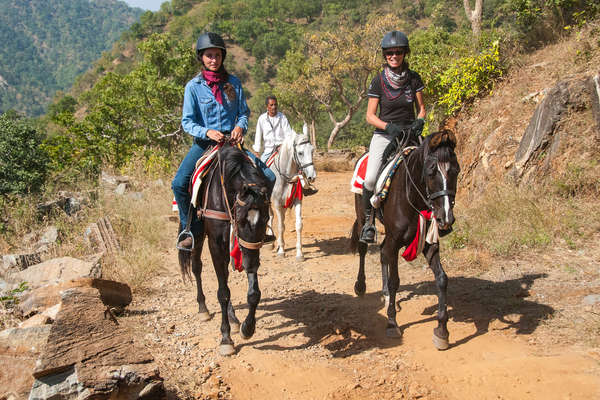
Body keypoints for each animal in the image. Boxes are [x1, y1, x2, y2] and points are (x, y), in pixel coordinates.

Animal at [178, 145, 270, 356]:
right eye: (241, 219)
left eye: (266, 219)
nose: (251, 263)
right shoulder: (216, 244)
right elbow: (223, 292)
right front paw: (226, 339)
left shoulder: (248, 248)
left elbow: (253, 293)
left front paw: (247, 328)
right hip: (198, 235)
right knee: (197, 267)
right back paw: (203, 309)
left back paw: (235, 319)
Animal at [266, 123, 316, 260]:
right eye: (300, 153)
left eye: (312, 151)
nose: (312, 176)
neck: (286, 177)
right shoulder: (277, 204)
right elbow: (280, 226)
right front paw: (281, 251)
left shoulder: (297, 200)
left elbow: (298, 225)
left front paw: (299, 253)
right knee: (270, 217)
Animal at [346, 130, 460, 348]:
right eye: (431, 172)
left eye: (456, 171)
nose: (446, 219)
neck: (412, 197)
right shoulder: (395, 241)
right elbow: (395, 281)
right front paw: (392, 324)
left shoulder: (428, 243)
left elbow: (442, 279)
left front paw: (442, 331)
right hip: (362, 215)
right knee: (364, 248)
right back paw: (361, 286)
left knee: (382, 253)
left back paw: (385, 295)